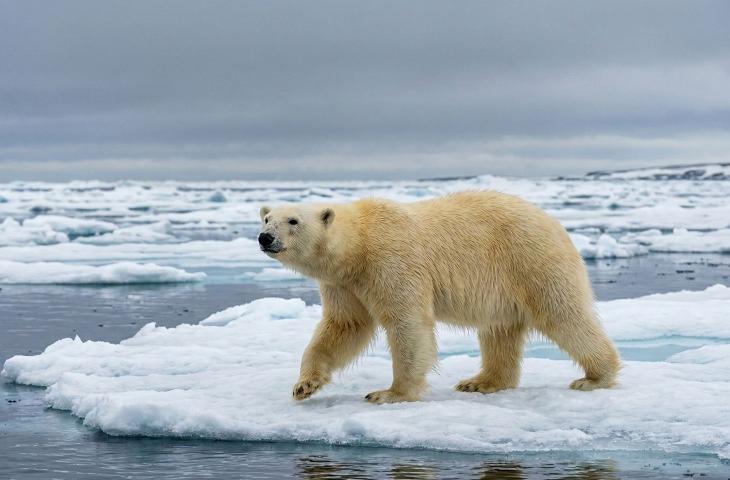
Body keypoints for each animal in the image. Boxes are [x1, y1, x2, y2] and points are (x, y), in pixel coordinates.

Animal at [258, 191, 621, 404]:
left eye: (293, 220)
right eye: (266, 217)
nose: (265, 237)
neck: (359, 243)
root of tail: (554, 222)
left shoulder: (391, 261)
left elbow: (407, 323)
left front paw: (391, 393)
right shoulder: (344, 283)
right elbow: (345, 325)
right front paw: (305, 385)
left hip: (530, 259)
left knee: (563, 314)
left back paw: (595, 377)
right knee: (499, 330)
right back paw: (481, 382)